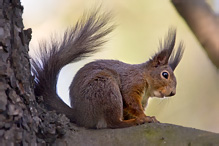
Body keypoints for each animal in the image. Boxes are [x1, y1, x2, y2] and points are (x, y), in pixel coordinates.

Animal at [30, 9, 184, 128]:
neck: (145, 77)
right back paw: (132, 122)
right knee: (112, 122)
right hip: (106, 90)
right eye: (165, 74)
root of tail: (81, 115)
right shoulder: (131, 83)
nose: (173, 93)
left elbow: (130, 109)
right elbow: (131, 101)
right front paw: (145, 117)